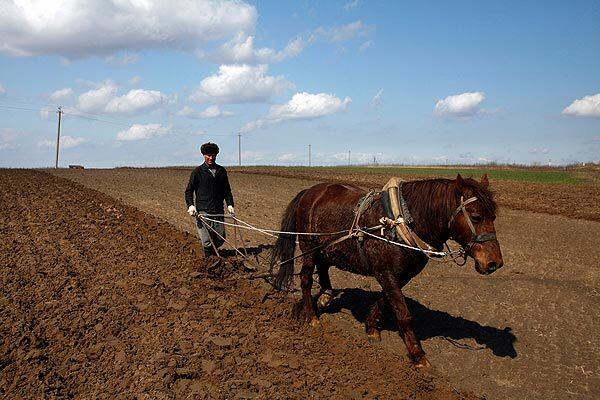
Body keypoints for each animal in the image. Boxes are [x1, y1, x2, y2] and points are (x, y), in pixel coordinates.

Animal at [270, 173, 502, 368]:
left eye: (493, 216)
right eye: (476, 216)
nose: (494, 263)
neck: (401, 222)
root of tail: (308, 192)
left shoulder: (397, 275)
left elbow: (385, 301)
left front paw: (371, 327)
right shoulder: (387, 273)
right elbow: (404, 313)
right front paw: (417, 355)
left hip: (326, 247)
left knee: (324, 268)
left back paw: (326, 296)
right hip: (308, 247)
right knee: (306, 279)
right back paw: (312, 316)